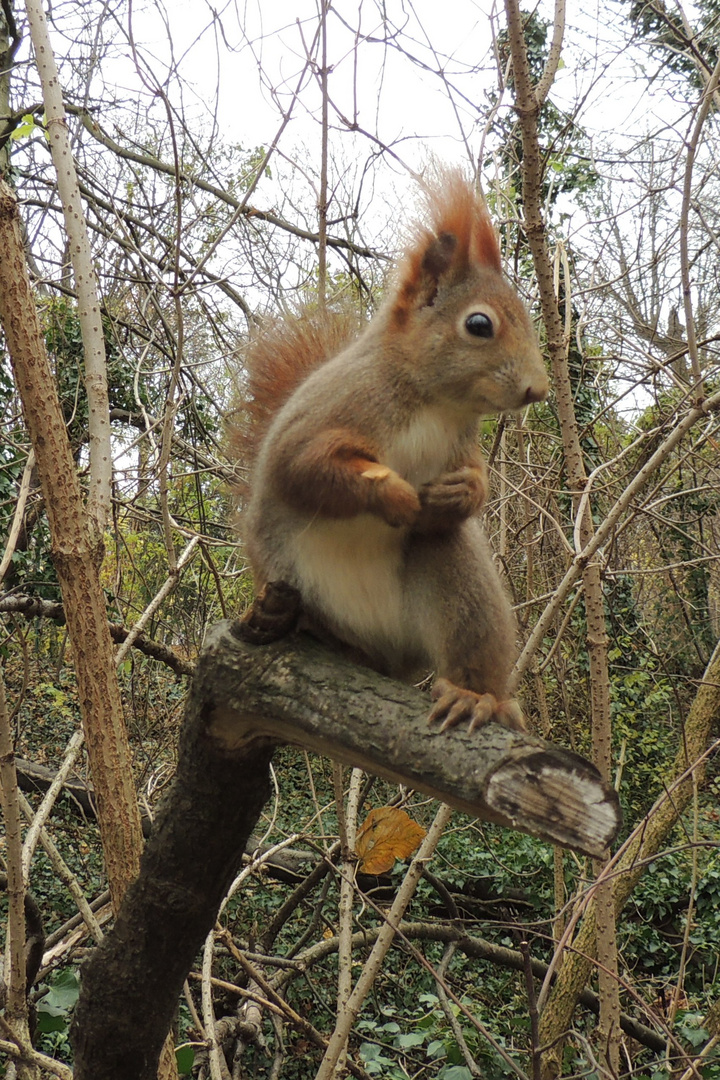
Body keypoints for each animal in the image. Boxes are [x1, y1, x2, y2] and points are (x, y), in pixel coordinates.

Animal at [235, 172, 546, 730]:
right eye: (479, 325)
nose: (540, 389)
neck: (434, 404)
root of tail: (390, 660)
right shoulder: (330, 414)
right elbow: (308, 468)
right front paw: (396, 496)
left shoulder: (461, 443)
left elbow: (475, 477)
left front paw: (463, 491)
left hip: (451, 583)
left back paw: (476, 697)